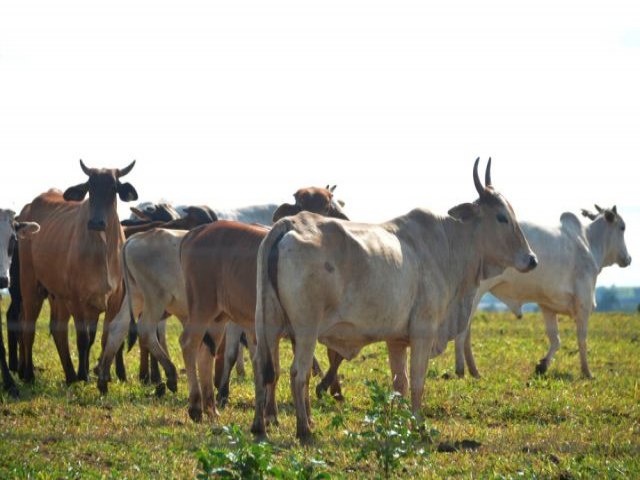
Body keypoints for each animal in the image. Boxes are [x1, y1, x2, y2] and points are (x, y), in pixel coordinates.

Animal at [17, 160, 138, 382]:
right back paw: (29, 374)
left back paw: (70, 375)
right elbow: (83, 339)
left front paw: (102, 374)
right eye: (90, 187)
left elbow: (104, 337)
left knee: (59, 330)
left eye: (113, 188)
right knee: (27, 327)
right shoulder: (77, 299)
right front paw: (84, 375)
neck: (103, 249)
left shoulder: (114, 298)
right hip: (30, 285)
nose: (96, 222)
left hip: (57, 296)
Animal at [252, 159, 536, 440]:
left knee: (264, 369)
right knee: (298, 373)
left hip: (268, 324)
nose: (531, 259)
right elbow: (418, 382)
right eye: (502, 217)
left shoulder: (396, 340)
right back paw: (304, 430)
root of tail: (291, 223)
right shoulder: (424, 332)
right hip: (306, 329)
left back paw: (260, 426)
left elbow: (401, 384)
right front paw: (419, 426)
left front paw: (400, 426)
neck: (448, 244)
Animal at [456, 202, 632, 378]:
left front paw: (543, 365)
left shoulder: (548, 306)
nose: (628, 259)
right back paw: (467, 371)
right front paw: (587, 372)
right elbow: (582, 340)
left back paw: (473, 371)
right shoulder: (584, 302)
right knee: (462, 332)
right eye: (622, 227)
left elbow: (556, 340)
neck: (589, 242)